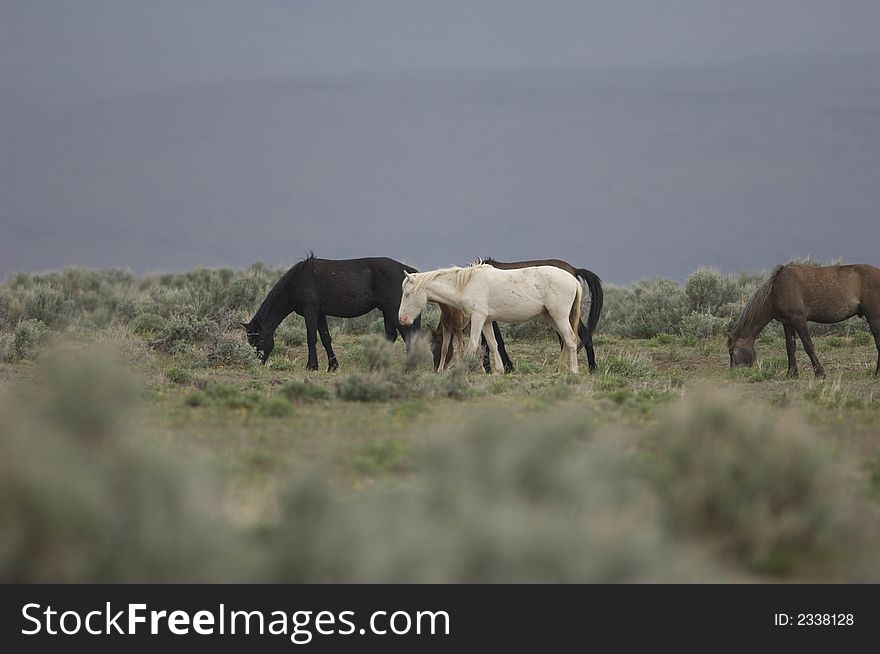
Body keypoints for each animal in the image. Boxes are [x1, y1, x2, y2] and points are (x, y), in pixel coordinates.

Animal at [241, 255, 420, 372]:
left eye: (258, 340)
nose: (259, 363)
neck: (298, 280)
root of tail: (408, 272)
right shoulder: (320, 314)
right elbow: (326, 338)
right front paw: (332, 366)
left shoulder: (310, 310)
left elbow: (311, 337)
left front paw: (311, 366)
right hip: (387, 311)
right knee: (391, 336)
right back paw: (380, 367)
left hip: (393, 310)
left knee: (407, 335)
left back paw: (408, 368)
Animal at [400, 262, 584, 374]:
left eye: (408, 294)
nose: (402, 318)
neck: (465, 285)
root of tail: (573, 280)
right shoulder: (486, 321)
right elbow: (492, 344)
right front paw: (498, 371)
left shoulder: (477, 318)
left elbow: (473, 345)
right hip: (551, 317)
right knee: (566, 340)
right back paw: (560, 367)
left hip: (559, 316)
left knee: (570, 339)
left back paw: (574, 370)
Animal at [728, 264, 880, 380]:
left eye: (731, 351)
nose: (733, 373)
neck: (776, 290)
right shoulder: (787, 323)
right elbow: (790, 347)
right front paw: (791, 374)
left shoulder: (799, 320)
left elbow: (808, 346)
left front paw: (820, 373)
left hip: (873, 317)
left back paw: (876, 373)